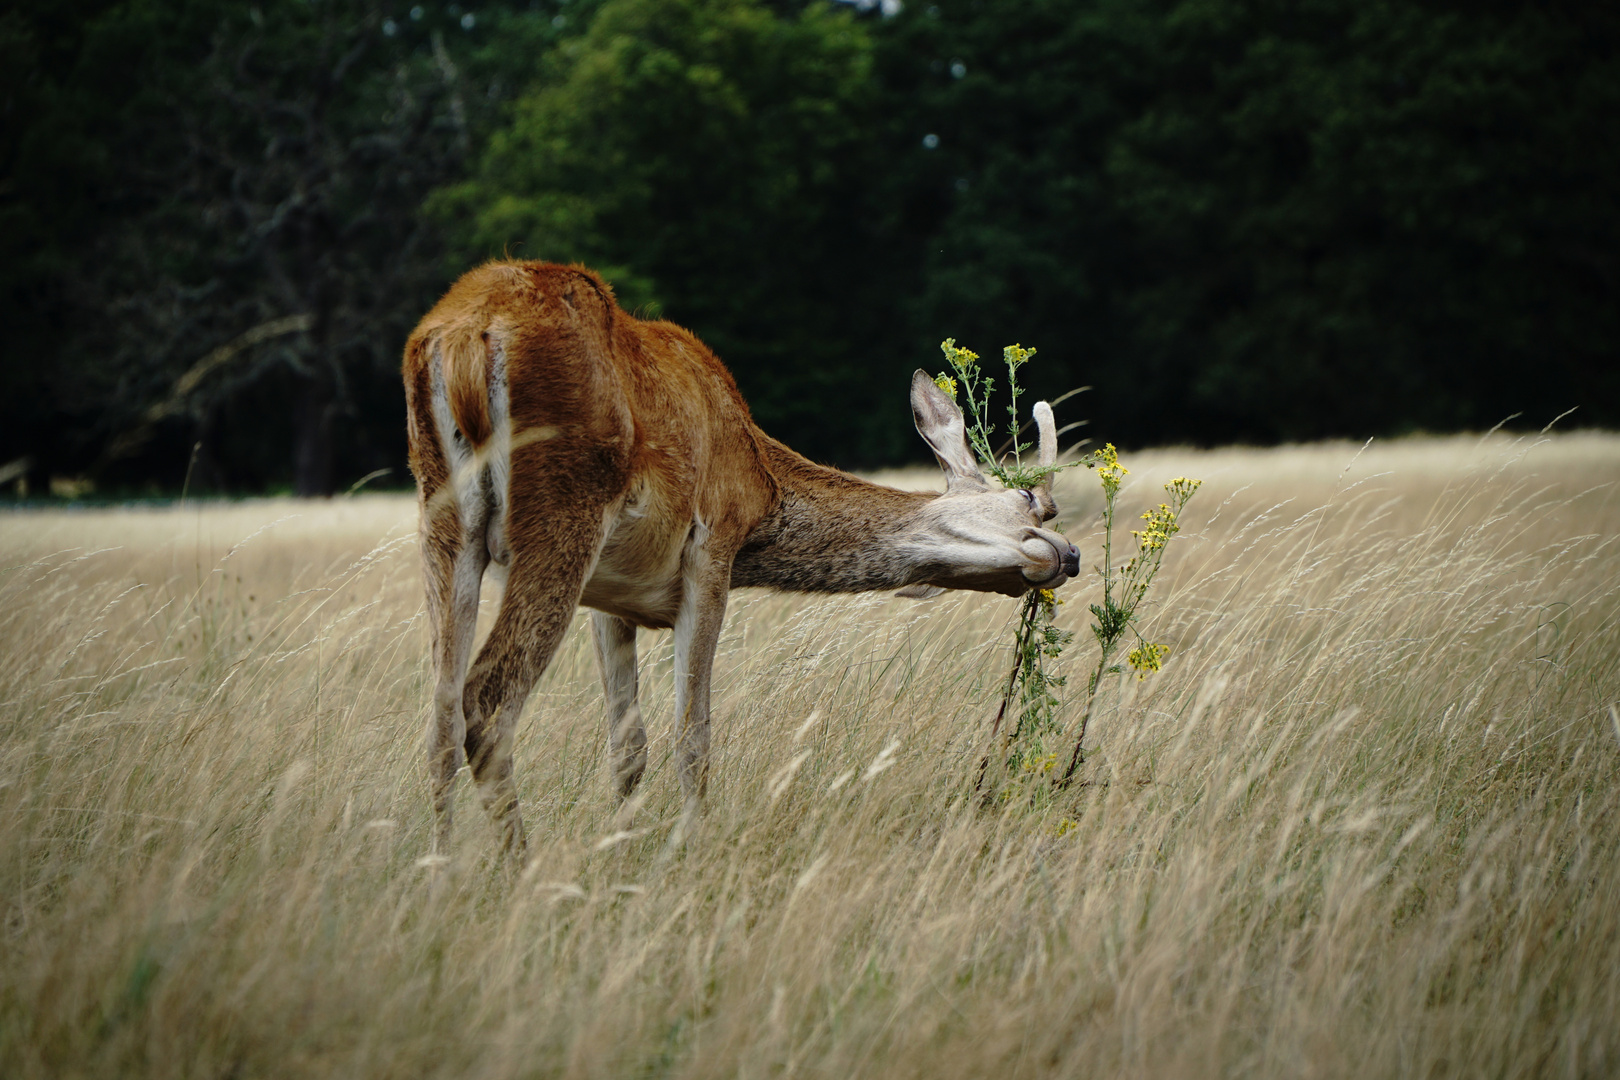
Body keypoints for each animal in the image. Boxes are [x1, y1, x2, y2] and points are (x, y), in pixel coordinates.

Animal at [405, 262, 1082, 854]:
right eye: (1027, 497)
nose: (1069, 555)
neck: (762, 492)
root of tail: (459, 340)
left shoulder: (609, 594)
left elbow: (628, 745)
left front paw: (620, 851)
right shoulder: (712, 548)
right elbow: (693, 736)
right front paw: (685, 851)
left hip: (444, 517)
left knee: (439, 716)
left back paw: (441, 874)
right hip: (563, 507)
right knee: (487, 702)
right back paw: (515, 871)